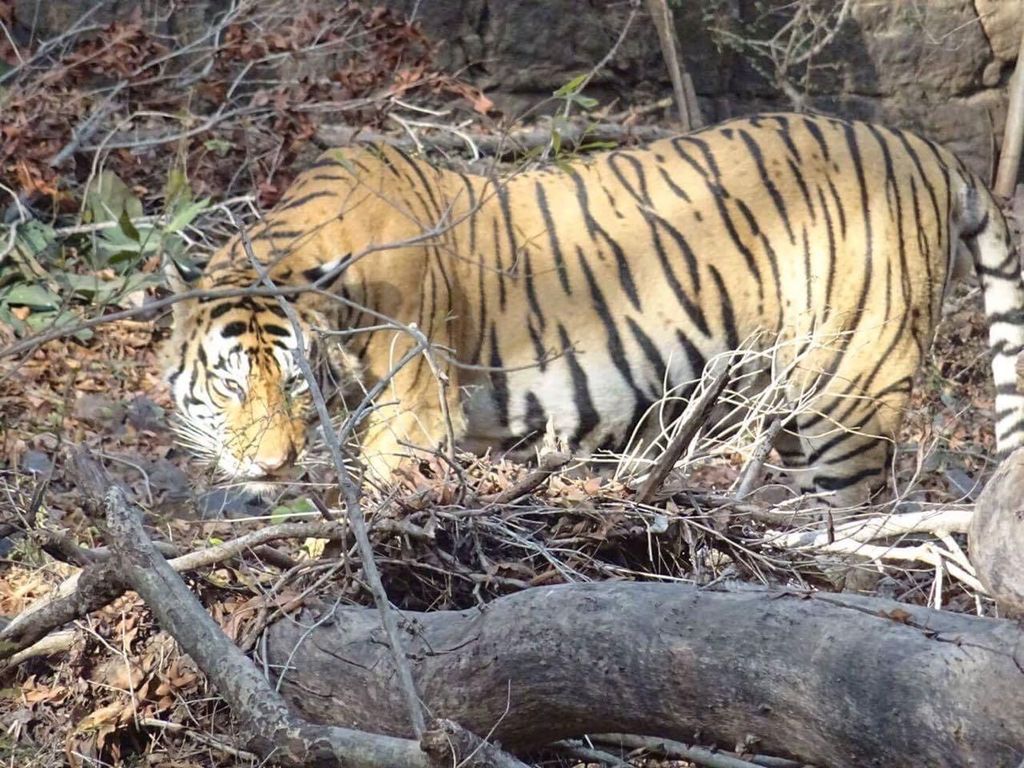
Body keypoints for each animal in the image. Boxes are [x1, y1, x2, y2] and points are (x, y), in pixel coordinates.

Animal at [162, 112, 1024, 510]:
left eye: (297, 384)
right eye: (232, 386)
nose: (274, 463)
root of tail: (921, 146)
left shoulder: (415, 411)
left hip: (850, 391)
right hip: (789, 400)